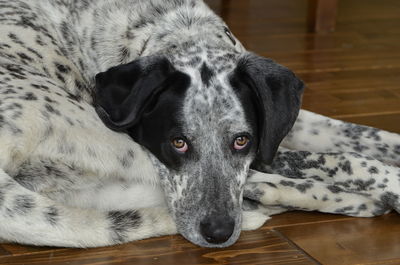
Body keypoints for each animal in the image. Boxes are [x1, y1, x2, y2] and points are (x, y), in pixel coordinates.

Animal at [0, 0, 398, 248]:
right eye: (178, 142)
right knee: (262, 185)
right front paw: (390, 184)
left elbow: (368, 136)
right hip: (120, 147)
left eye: (241, 140)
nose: (218, 233)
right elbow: (344, 159)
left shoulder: (281, 124)